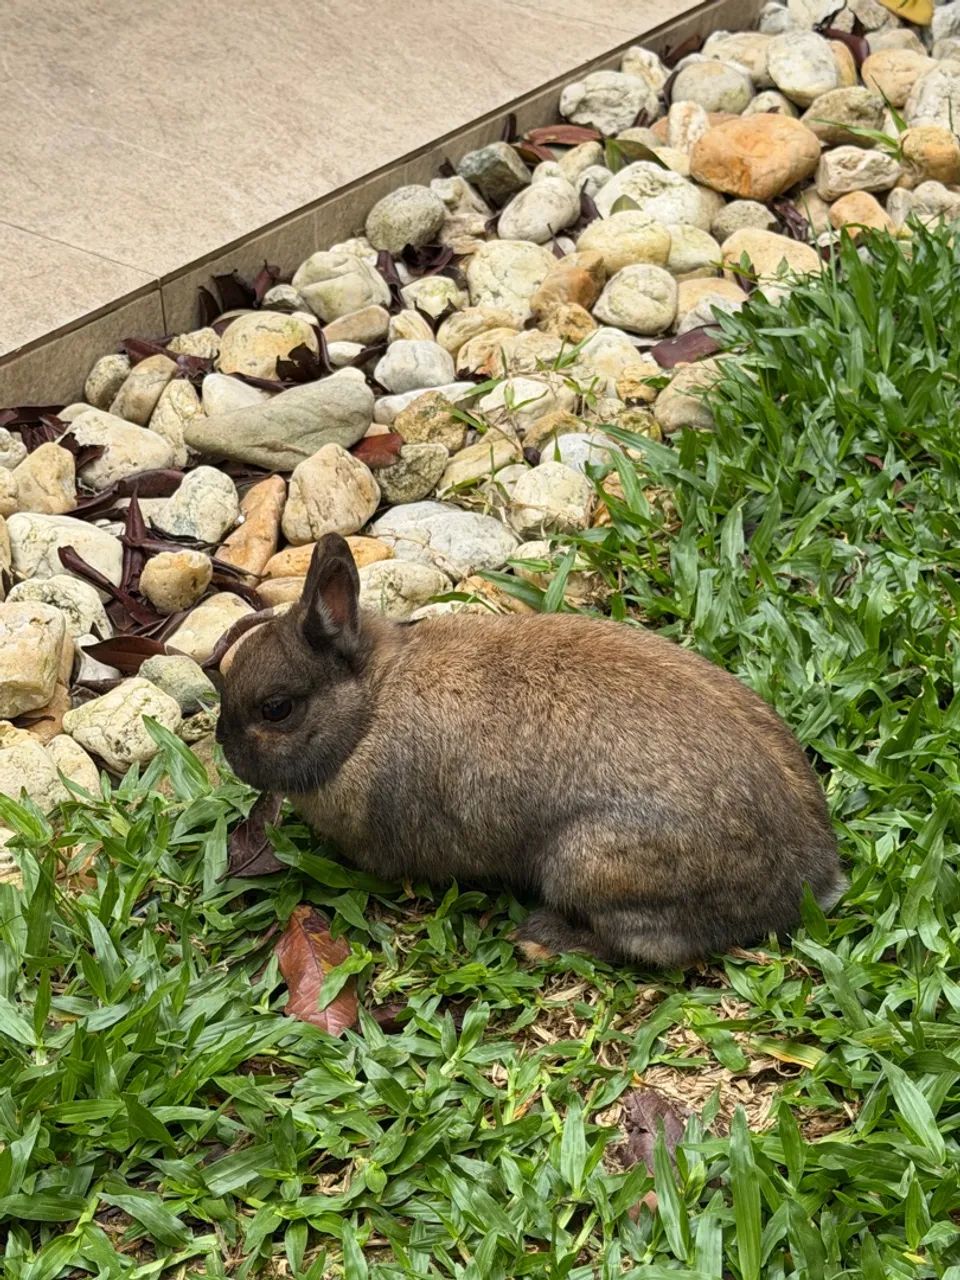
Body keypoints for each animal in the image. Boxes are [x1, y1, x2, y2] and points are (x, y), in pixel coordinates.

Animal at [215, 533, 844, 967]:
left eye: (276, 709)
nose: (224, 747)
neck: (369, 706)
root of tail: (808, 881)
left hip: (591, 863)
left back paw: (541, 938)